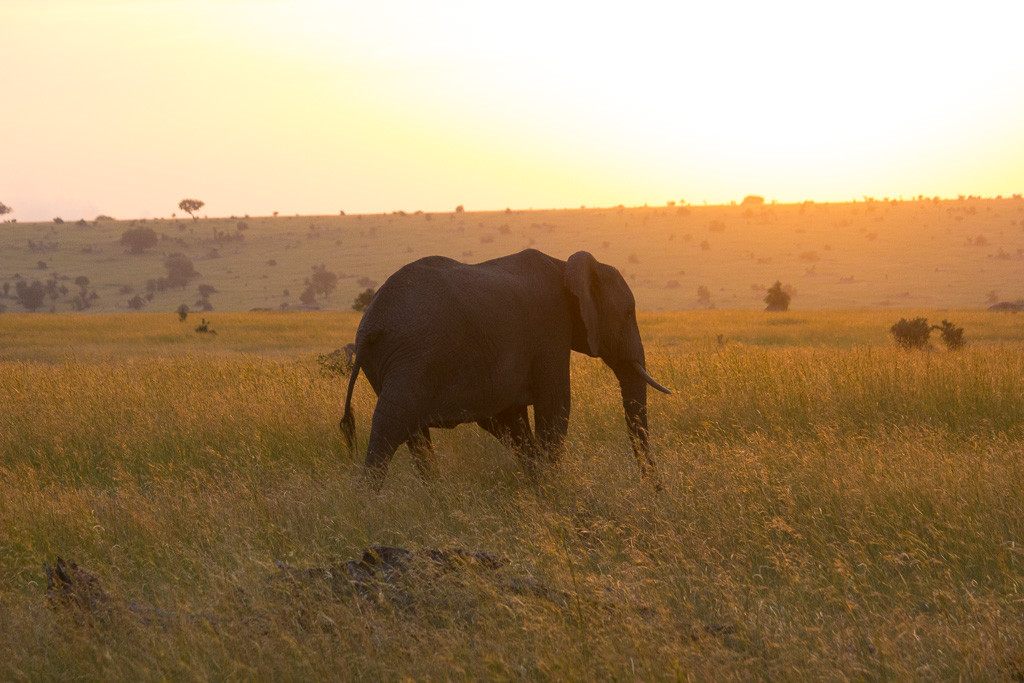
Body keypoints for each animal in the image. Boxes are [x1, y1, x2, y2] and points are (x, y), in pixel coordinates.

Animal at [337, 248, 671, 489]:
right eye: (628, 313)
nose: (654, 489)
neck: (565, 266)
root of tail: (370, 326)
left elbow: (509, 420)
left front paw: (539, 486)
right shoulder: (550, 329)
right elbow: (555, 405)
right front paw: (554, 490)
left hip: (389, 362)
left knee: (414, 435)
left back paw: (437, 498)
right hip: (412, 357)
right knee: (391, 426)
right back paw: (369, 504)